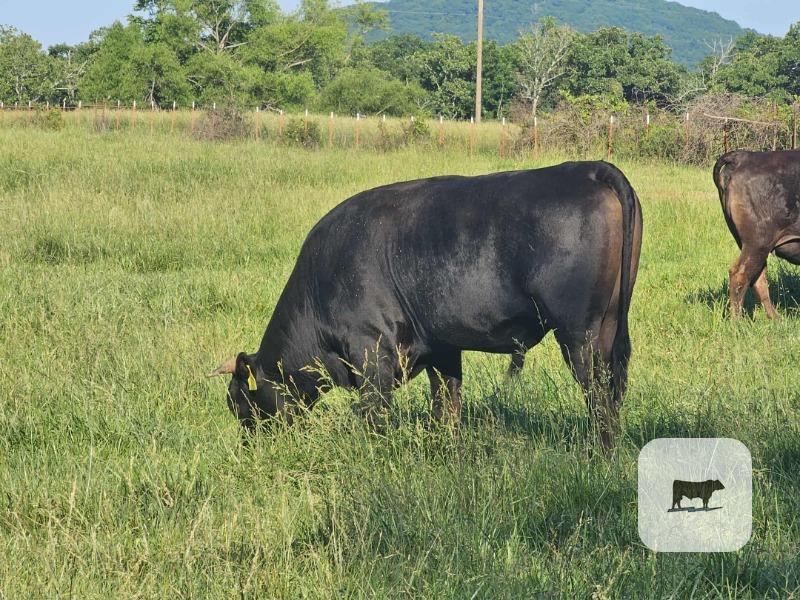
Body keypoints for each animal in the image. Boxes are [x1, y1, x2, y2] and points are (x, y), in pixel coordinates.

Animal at [209, 161, 643, 451]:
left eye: (243, 406)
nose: (251, 450)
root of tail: (587, 168)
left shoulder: (371, 354)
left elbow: (376, 415)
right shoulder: (442, 348)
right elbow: (446, 404)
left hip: (578, 336)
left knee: (599, 394)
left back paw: (599, 453)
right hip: (608, 328)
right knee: (614, 388)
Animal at [713, 150, 800, 319]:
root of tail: (745, 156)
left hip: (753, 246)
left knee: (758, 278)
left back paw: (776, 319)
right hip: (757, 243)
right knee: (740, 275)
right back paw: (737, 321)